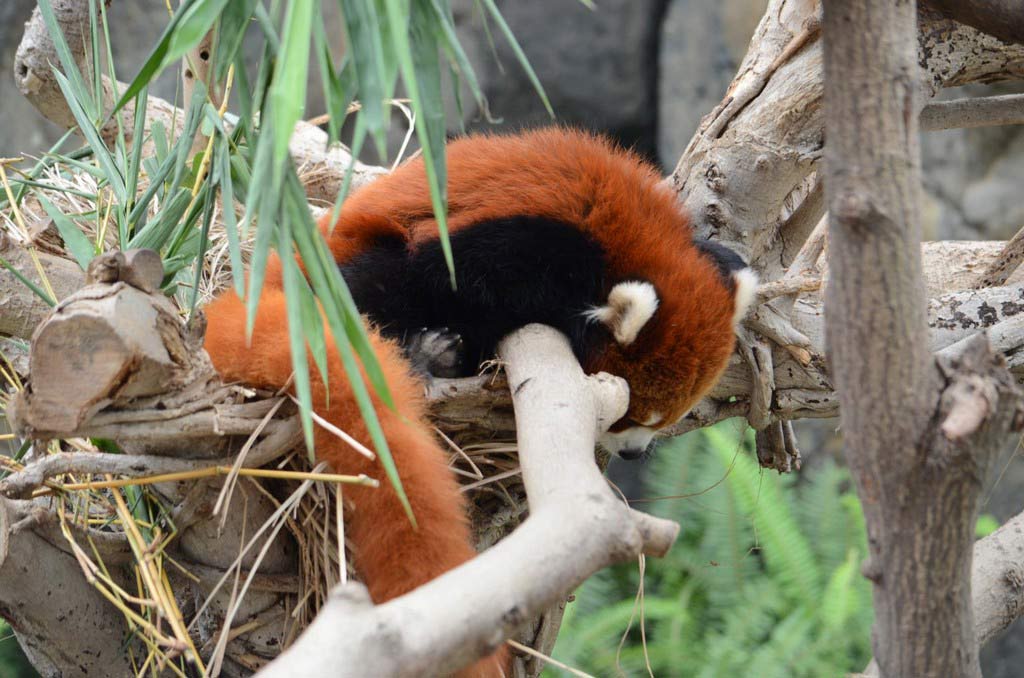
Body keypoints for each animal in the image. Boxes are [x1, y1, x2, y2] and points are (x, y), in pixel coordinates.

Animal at [203, 127, 757, 675]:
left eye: (662, 422)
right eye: (630, 417)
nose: (635, 453)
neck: (627, 230)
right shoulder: (520, 234)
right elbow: (457, 277)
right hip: (345, 261)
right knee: (374, 284)